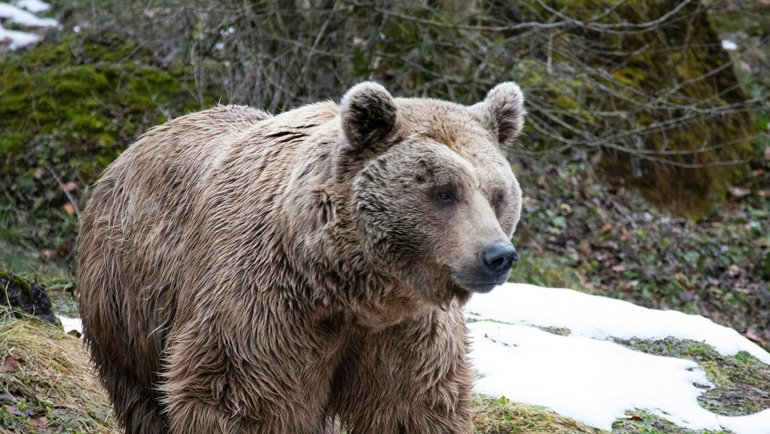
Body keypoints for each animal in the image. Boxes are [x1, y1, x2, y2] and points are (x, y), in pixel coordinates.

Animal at [76, 82, 520, 434]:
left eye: (498, 195)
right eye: (445, 191)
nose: (497, 255)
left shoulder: (409, 333)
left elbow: (414, 409)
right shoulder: (267, 308)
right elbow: (243, 400)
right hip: (130, 299)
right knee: (142, 394)